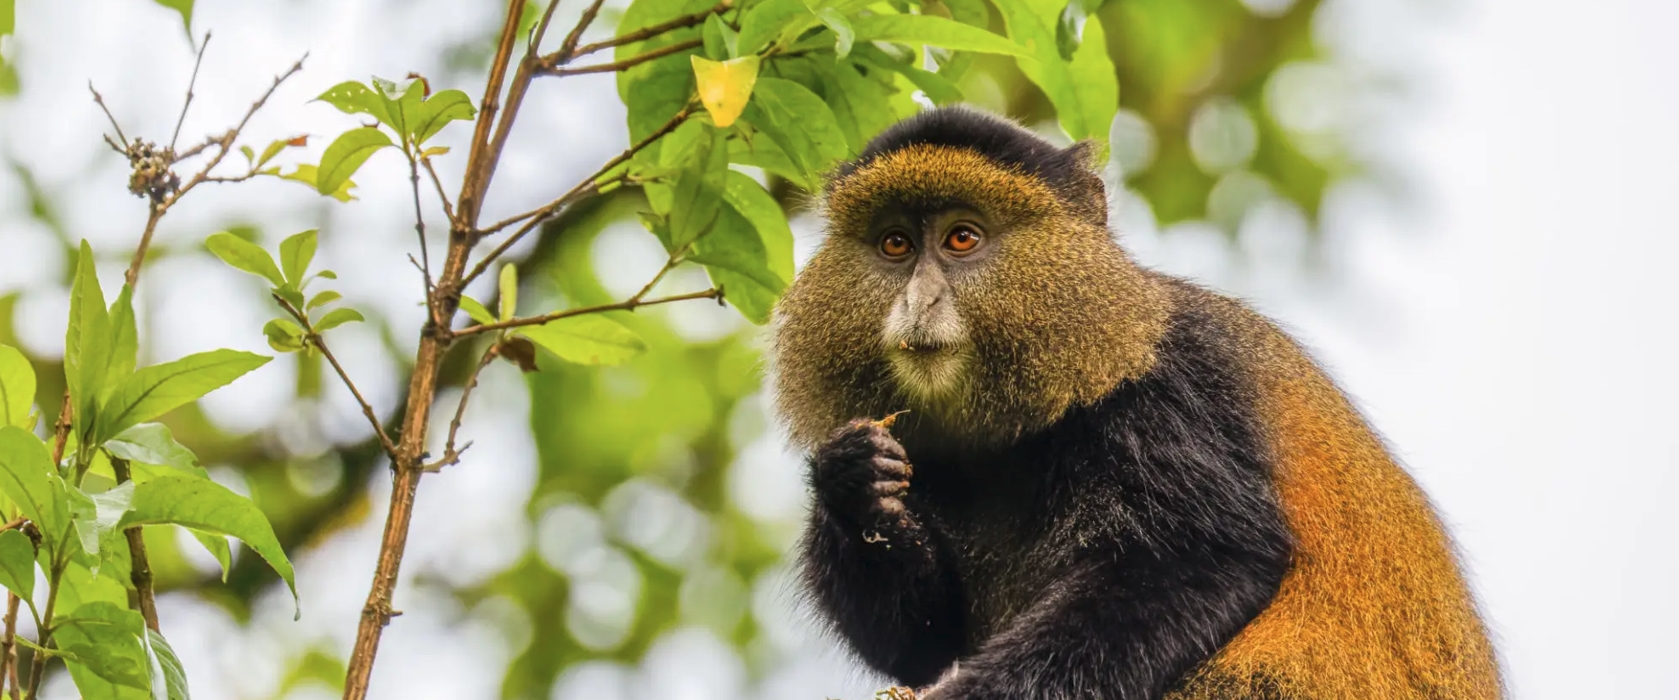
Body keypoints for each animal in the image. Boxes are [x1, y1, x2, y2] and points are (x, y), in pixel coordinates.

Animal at [769, 106, 1502, 700]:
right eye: (894, 244)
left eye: (961, 239)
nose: (919, 301)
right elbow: (924, 641)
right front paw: (853, 482)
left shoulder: (1167, 394)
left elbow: (1201, 558)